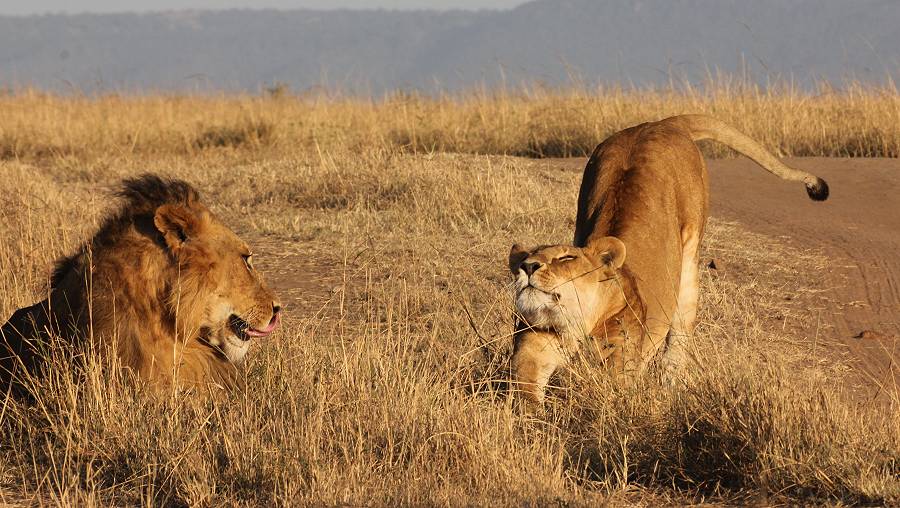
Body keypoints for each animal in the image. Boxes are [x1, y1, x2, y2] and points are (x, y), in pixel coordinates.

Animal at [506, 115, 828, 404]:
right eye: (526, 258)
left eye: (567, 257)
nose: (528, 267)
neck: (575, 323)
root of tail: (660, 123)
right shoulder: (531, 349)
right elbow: (525, 391)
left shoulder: (619, 368)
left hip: (689, 260)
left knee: (680, 331)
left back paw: (669, 384)